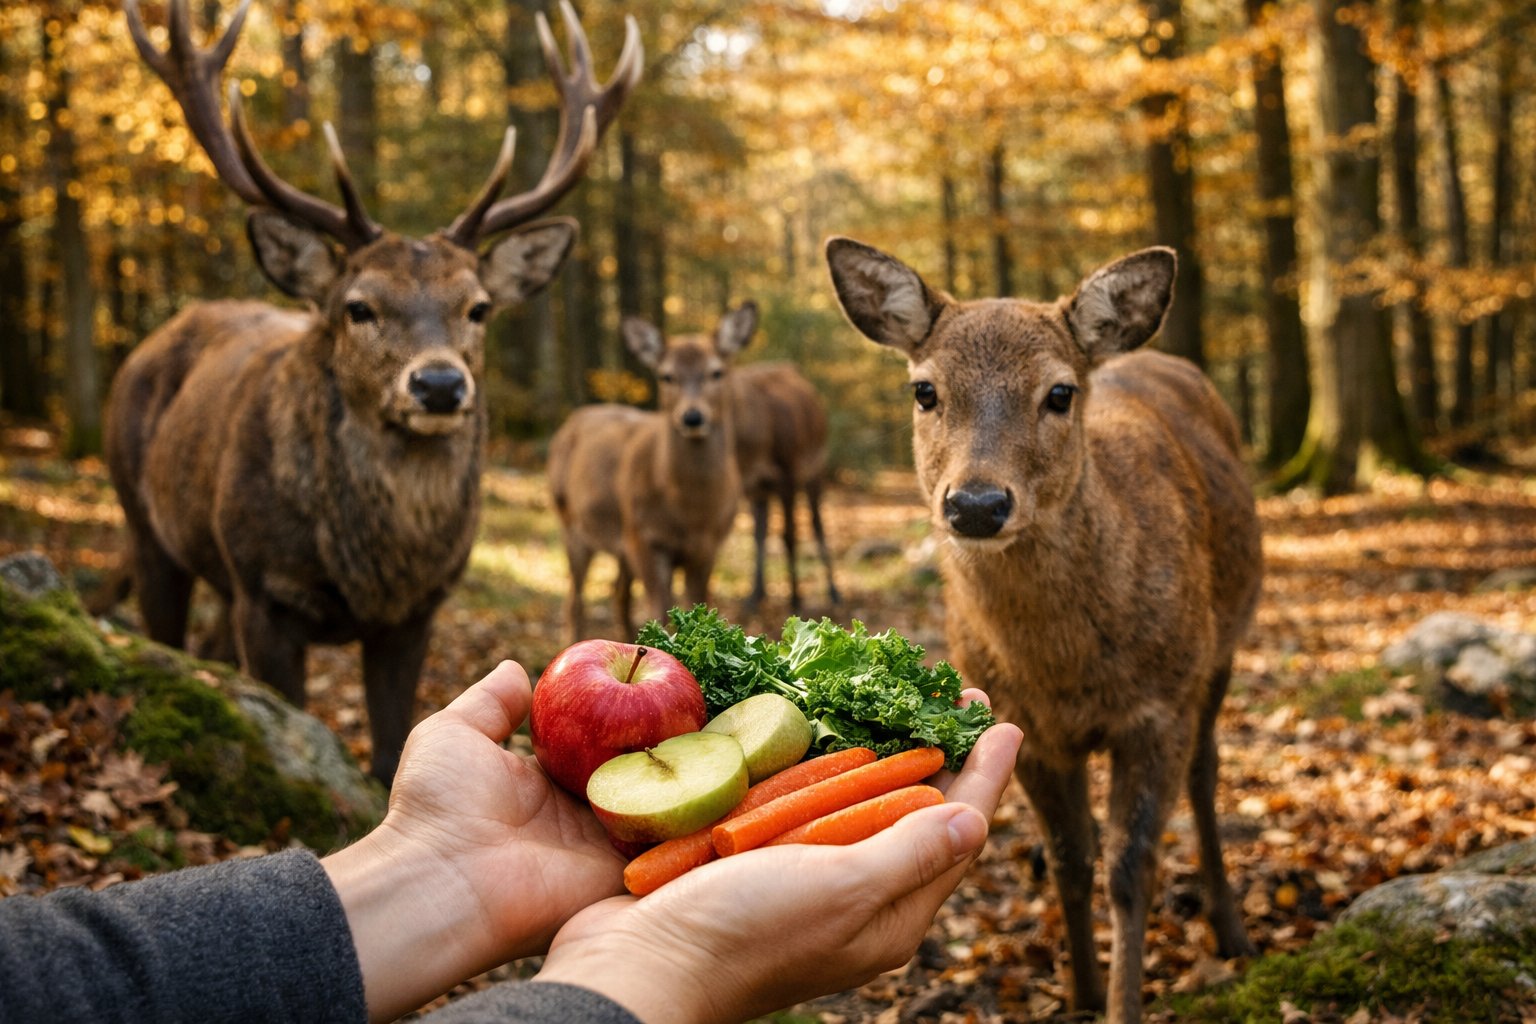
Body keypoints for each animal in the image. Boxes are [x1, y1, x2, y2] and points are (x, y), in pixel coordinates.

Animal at [105, 0, 640, 785]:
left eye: (479, 307)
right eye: (359, 306)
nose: (440, 383)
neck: (373, 571)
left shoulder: (414, 614)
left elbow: (392, 750)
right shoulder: (263, 591)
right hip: (147, 524)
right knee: (169, 630)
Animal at [547, 303, 757, 641]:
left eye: (716, 371)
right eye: (666, 375)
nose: (692, 417)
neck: (690, 510)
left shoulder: (709, 544)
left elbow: (696, 602)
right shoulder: (644, 537)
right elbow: (660, 610)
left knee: (618, 593)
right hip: (570, 519)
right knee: (574, 599)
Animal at [729, 361, 840, 616]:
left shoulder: (789, 475)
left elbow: (789, 535)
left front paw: (796, 599)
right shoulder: (752, 488)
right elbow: (758, 535)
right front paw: (753, 597)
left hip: (817, 466)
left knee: (817, 524)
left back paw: (834, 592)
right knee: (762, 531)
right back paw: (758, 593)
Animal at [825, 238, 1261, 1024]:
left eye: (1059, 392)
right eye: (924, 390)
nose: (975, 503)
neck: (1065, 669)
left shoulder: (1160, 710)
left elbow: (1130, 867)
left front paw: (1123, 1005)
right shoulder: (1029, 728)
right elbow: (1069, 858)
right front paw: (1081, 995)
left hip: (1218, 652)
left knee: (1208, 775)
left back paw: (1232, 930)